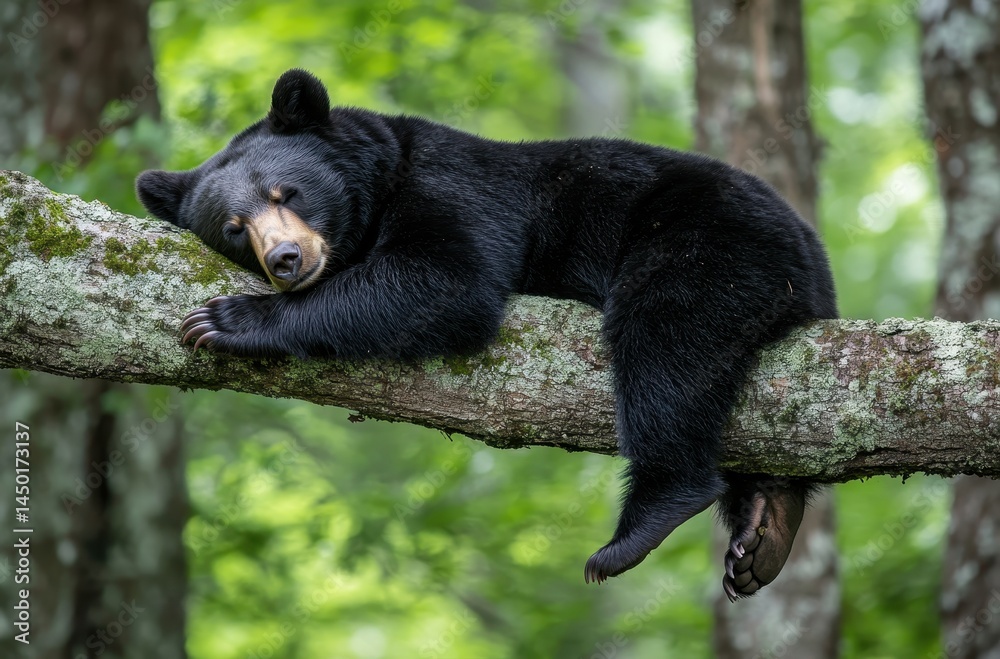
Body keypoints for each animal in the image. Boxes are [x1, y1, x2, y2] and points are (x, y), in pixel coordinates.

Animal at [136, 69, 838, 601]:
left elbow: (447, 278)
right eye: (233, 227)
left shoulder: (453, 187)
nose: (285, 259)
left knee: (667, 344)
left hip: (708, 243)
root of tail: (810, 253)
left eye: (288, 192)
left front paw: (227, 320)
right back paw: (766, 525)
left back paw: (642, 524)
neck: (382, 179)